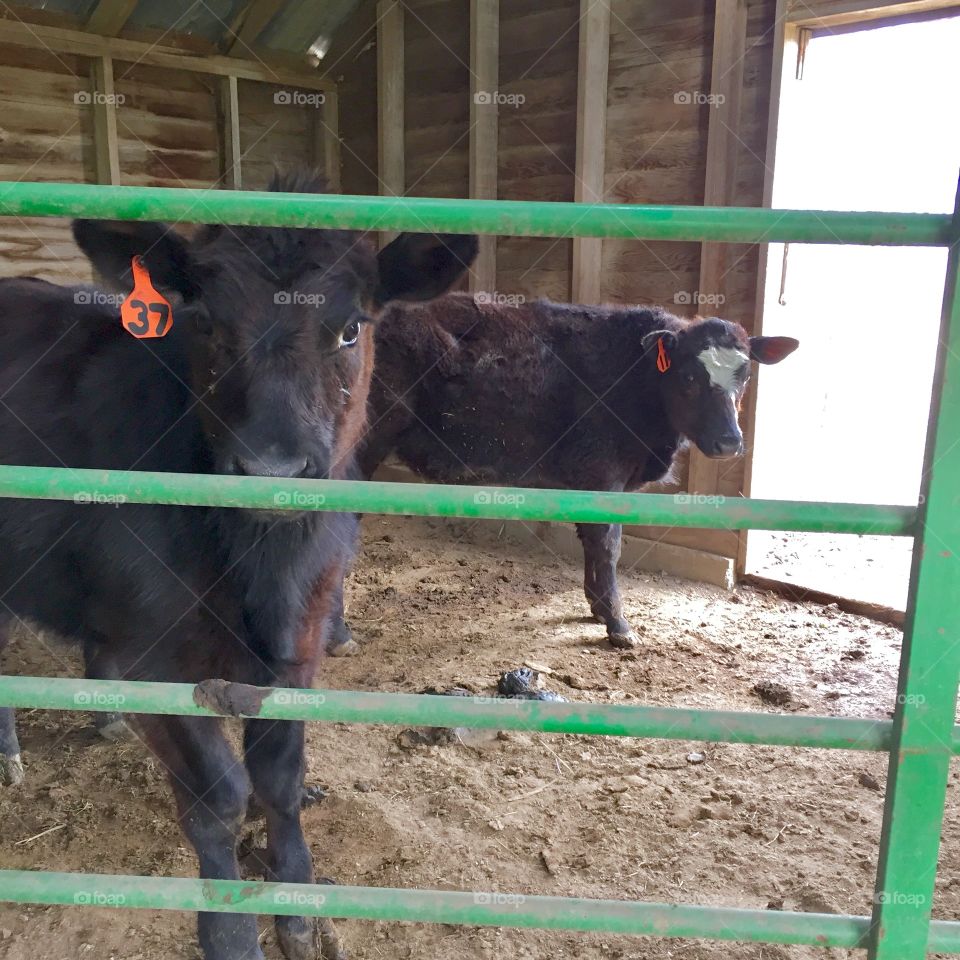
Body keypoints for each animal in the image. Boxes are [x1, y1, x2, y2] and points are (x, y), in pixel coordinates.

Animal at [0, 172, 476, 960]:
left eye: (351, 328)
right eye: (207, 326)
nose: (272, 469)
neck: (265, 569)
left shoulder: (303, 641)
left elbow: (278, 779)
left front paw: (296, 907)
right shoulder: (153, 658)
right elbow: (219, 796)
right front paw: (226, 928)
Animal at [330, 294, 797, 651]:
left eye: (745, 374)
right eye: (687, 377)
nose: (728, 442)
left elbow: (593, 542)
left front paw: (597, 608)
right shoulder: (604, 475)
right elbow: (608, 546)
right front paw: (618, 626)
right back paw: (338, 634)